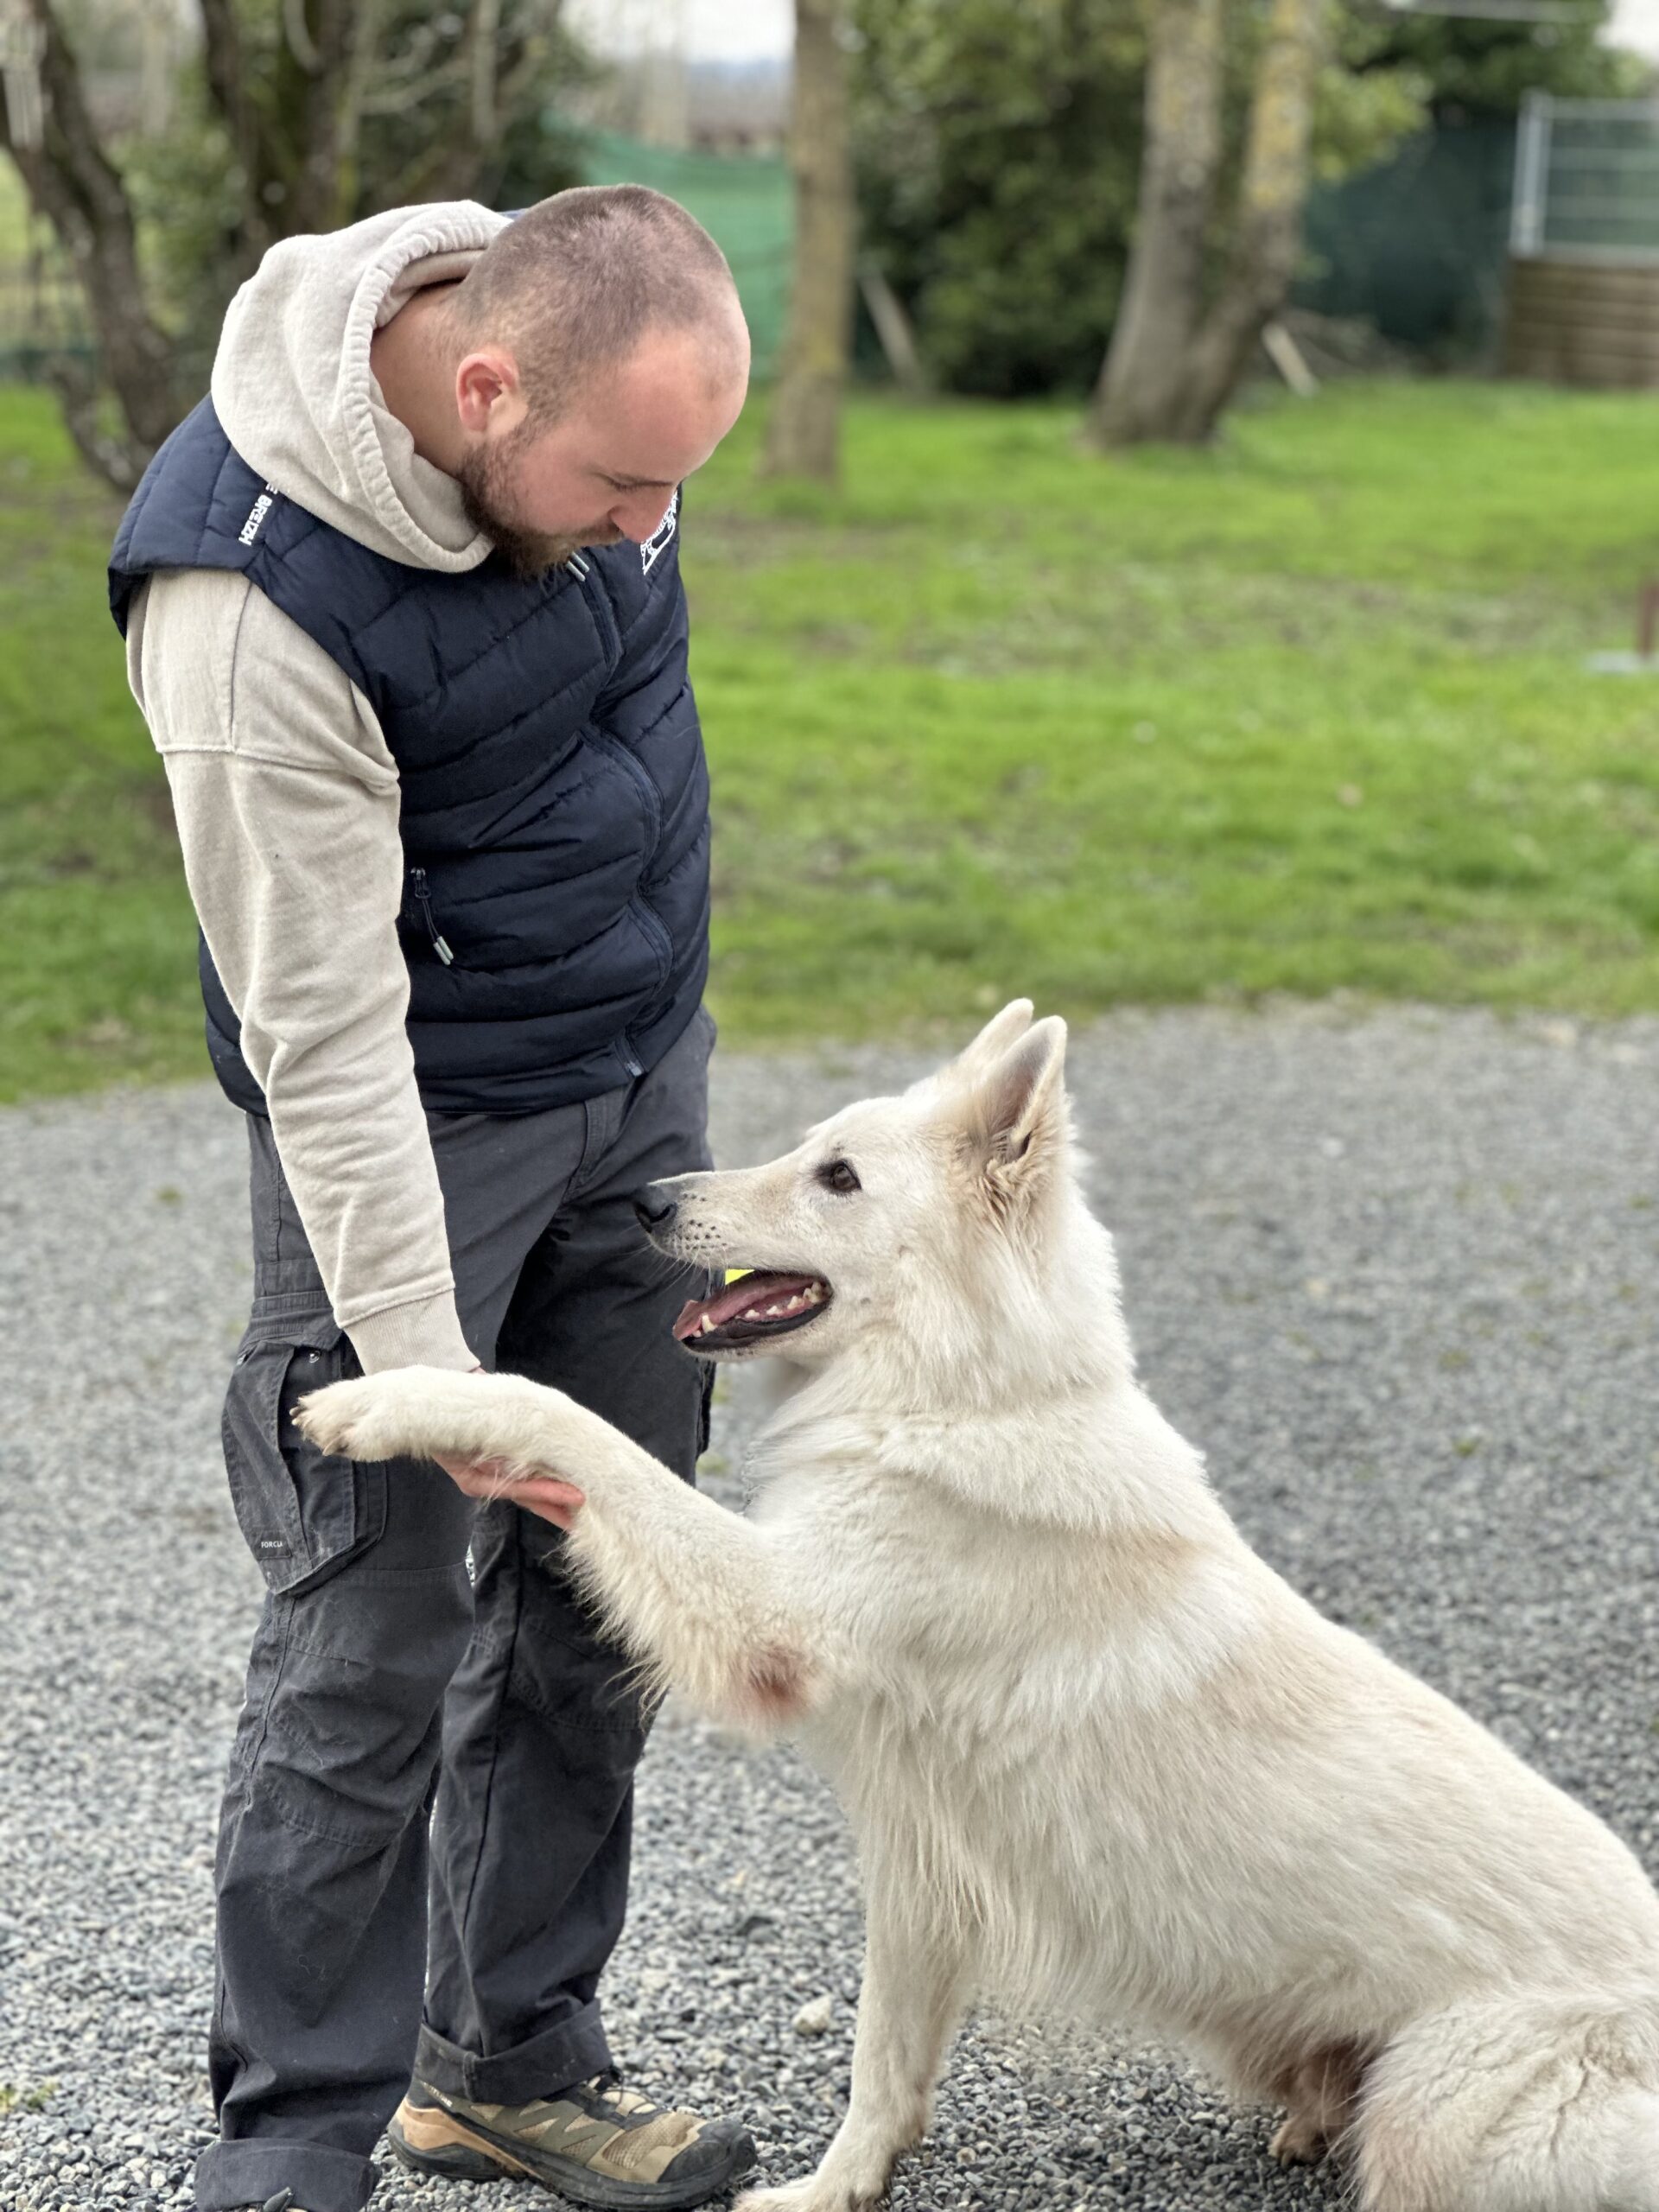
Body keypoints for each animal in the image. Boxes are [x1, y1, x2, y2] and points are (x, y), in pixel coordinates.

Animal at [298, 1004, 1659, 2212]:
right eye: (813, 1151)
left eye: (838, 1178)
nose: (647, 1201)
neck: (959, 1396)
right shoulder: (918, 1870)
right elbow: (885, 2063)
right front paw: (841, 2189)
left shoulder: (773, 1619)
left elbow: (565, 1417)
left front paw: (390, 1401)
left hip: (1436, 2108)